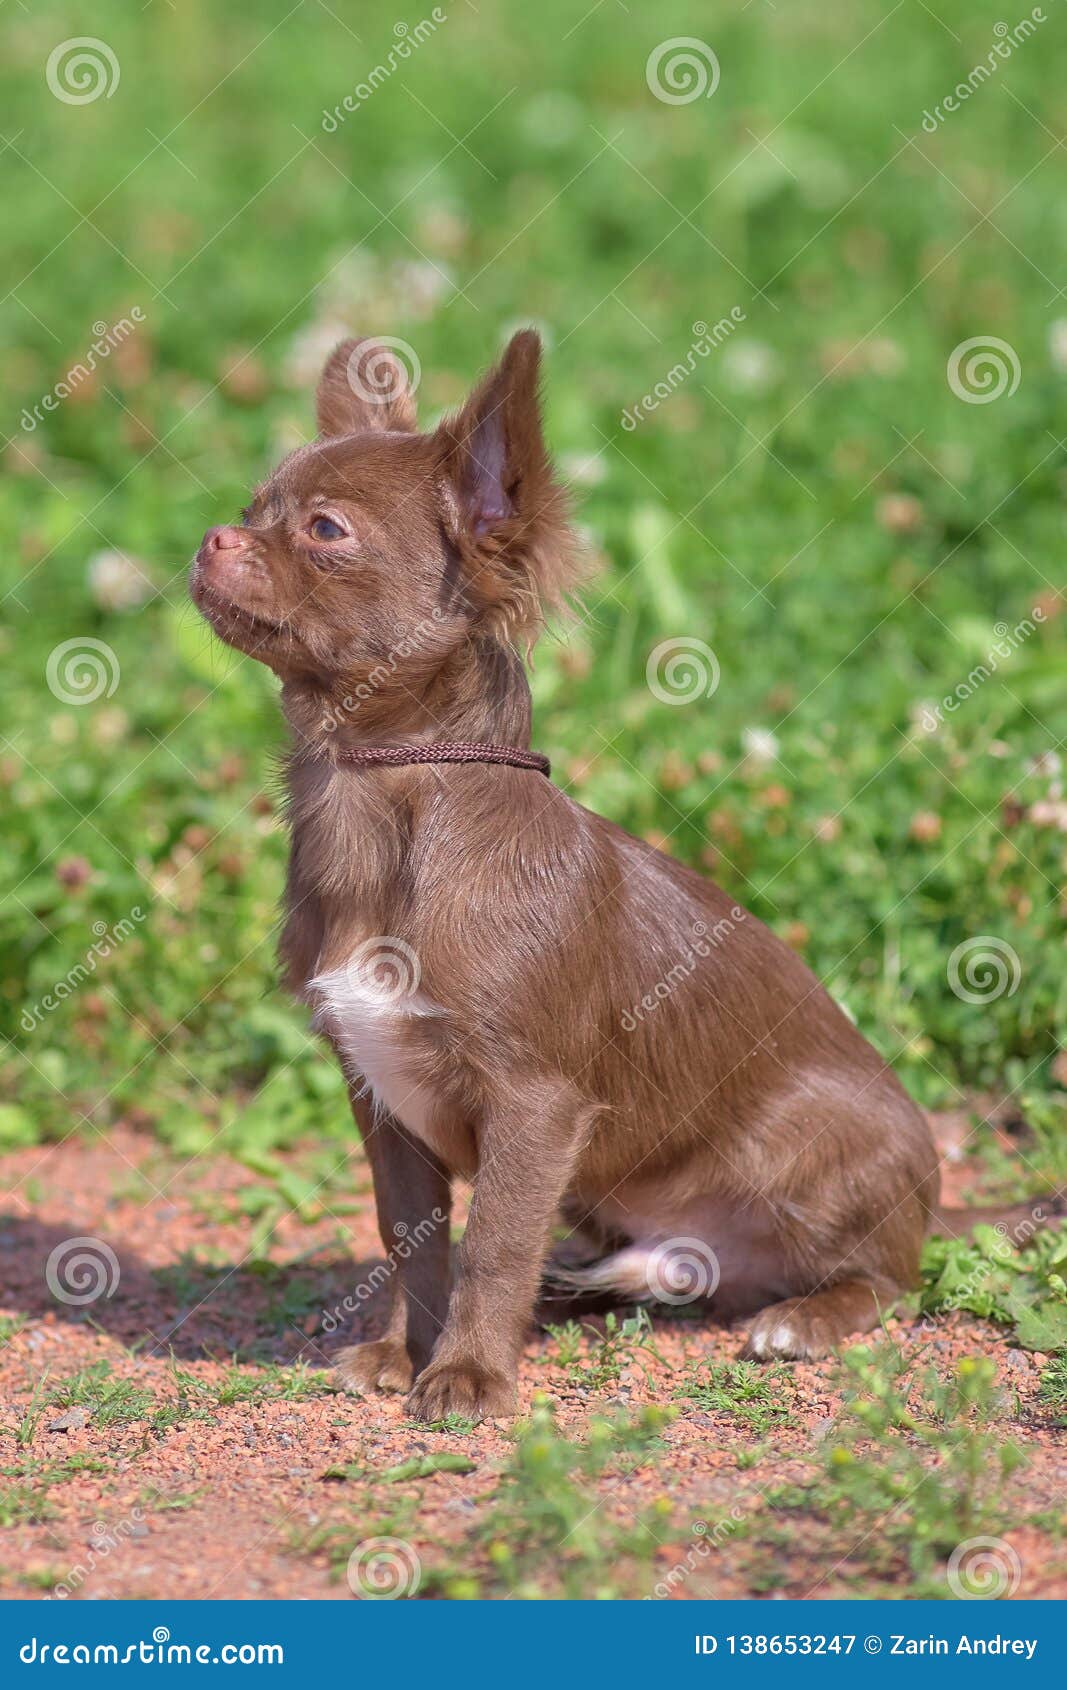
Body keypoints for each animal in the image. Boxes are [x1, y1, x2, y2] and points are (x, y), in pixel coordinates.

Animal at [191, 326, 1041, 1412]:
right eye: (253, 506)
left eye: (324, 530)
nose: (214, 537)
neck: (380, 798)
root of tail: (933, 1195)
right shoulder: (381, 1102)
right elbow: (411, 1238)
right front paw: (404, 1350)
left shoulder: (533, 1105)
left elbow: (491, 1245)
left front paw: (466, 1372)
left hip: (811, 1155)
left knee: (886, 1274)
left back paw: (804, 1317)